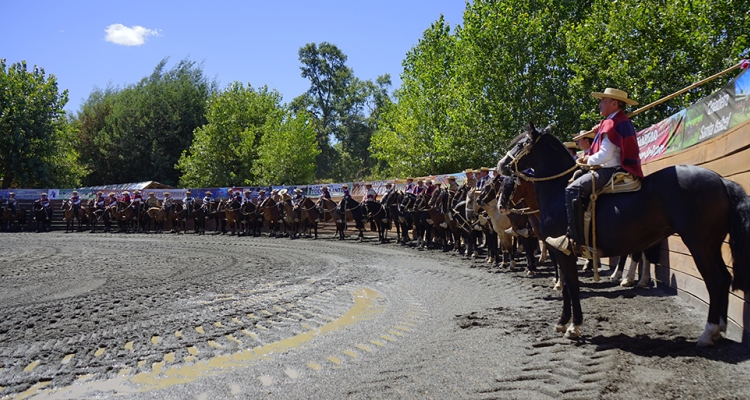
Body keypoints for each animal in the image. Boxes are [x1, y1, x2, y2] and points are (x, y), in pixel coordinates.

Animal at [500, 123, 750, 346]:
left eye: (521, 144)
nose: (501, 164)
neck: (559, 193)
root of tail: (721, 180)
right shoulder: (562, 252)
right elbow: (567, 287)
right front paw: (563, 322)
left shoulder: (563, 251)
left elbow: (571, 286)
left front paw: (573, 325)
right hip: (711, 246)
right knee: (723, 279)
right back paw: (719, 329)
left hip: (700, 245)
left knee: (715, 280)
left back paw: (708, 333)